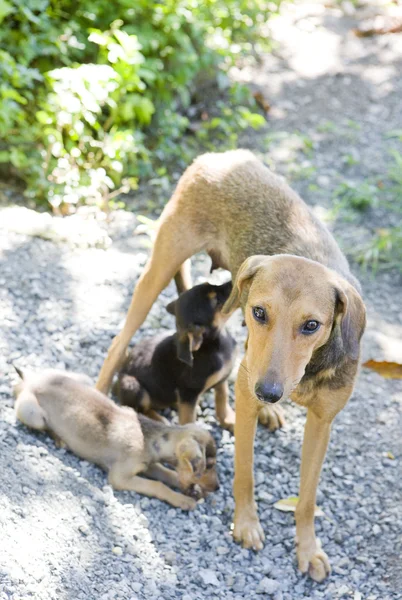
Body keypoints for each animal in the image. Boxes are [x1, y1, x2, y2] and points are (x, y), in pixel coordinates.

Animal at [14, 368, 218, 508]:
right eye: (208, 466)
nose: (217, 487)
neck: (149, 439)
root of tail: (31, 380)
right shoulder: (120, 477)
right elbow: (157, 485)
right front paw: (183, 500)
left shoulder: (149, 465)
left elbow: (169, 474)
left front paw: (193, 491)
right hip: (33, 415)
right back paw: (60, 439)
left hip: (82, 379)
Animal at [113, 282, 237, 432]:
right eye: (216, 300)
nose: (233, 282)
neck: (213, 344)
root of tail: (116, 385)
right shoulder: (188, 392)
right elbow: (188, 419)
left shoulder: (221, 379)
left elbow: (222, 398)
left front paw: (228, 420)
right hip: (134, 387)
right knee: (137, 410)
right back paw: (159, 420)